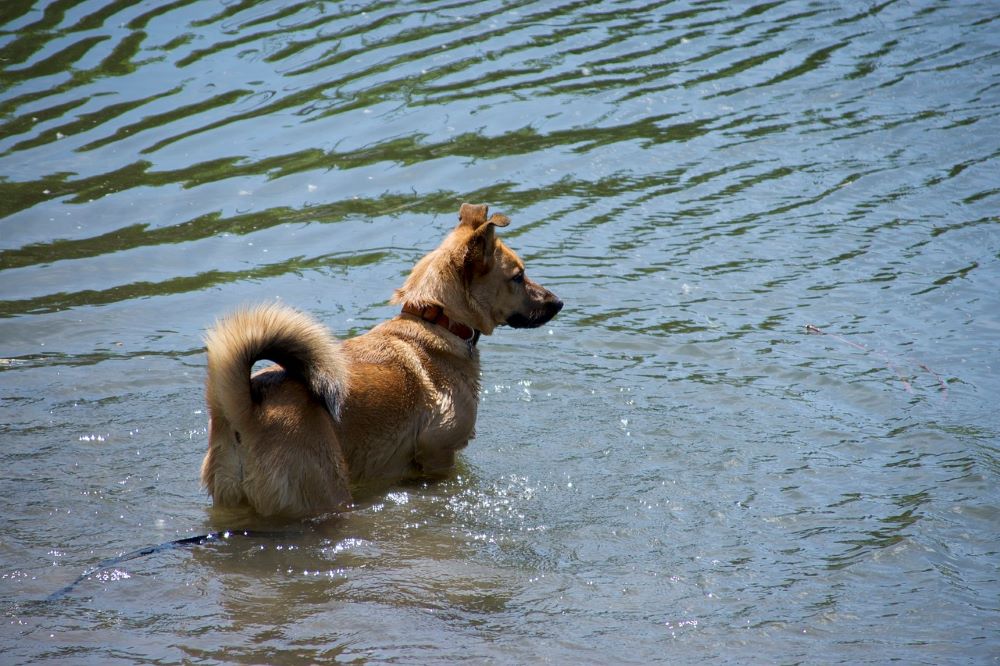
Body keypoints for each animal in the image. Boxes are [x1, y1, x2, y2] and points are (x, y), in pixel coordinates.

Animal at [199, 205, 568, 516]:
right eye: (517, 277)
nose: (559, 302)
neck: (436, 319)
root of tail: (245, 411)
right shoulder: (439, 455)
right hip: (324, 493)